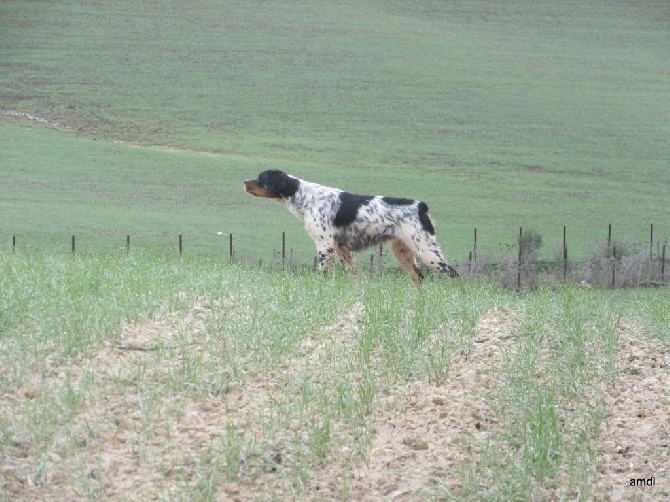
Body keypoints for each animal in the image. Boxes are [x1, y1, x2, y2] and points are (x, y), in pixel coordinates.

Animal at [244, 171, 460, 284]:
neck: (306, 198)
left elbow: (323, 274)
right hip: (403, 251)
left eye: (261, 178)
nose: (244, 181)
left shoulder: (325, 245)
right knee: (418, 277)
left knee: (453, 274)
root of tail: (421, 205)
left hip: (426, 249)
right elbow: (353, 276)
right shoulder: (342, 249)